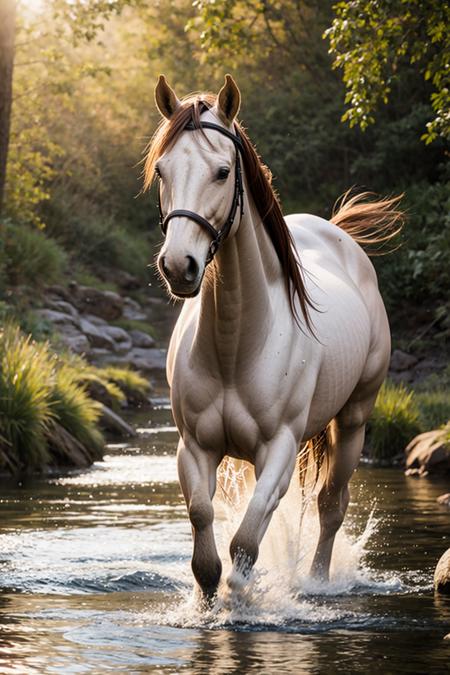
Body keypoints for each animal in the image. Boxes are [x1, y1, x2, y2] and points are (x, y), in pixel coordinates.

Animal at [146, 75, 402, 608]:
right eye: (161, 170)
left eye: (223, 172)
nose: (178, 266)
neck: (238, 345)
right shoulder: (194, 449)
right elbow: (206, 540)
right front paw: (207, 607)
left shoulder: (280, 449)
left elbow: (246, 542)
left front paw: (244, 603)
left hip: (353, 420)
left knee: (331, 504)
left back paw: (318, 582)